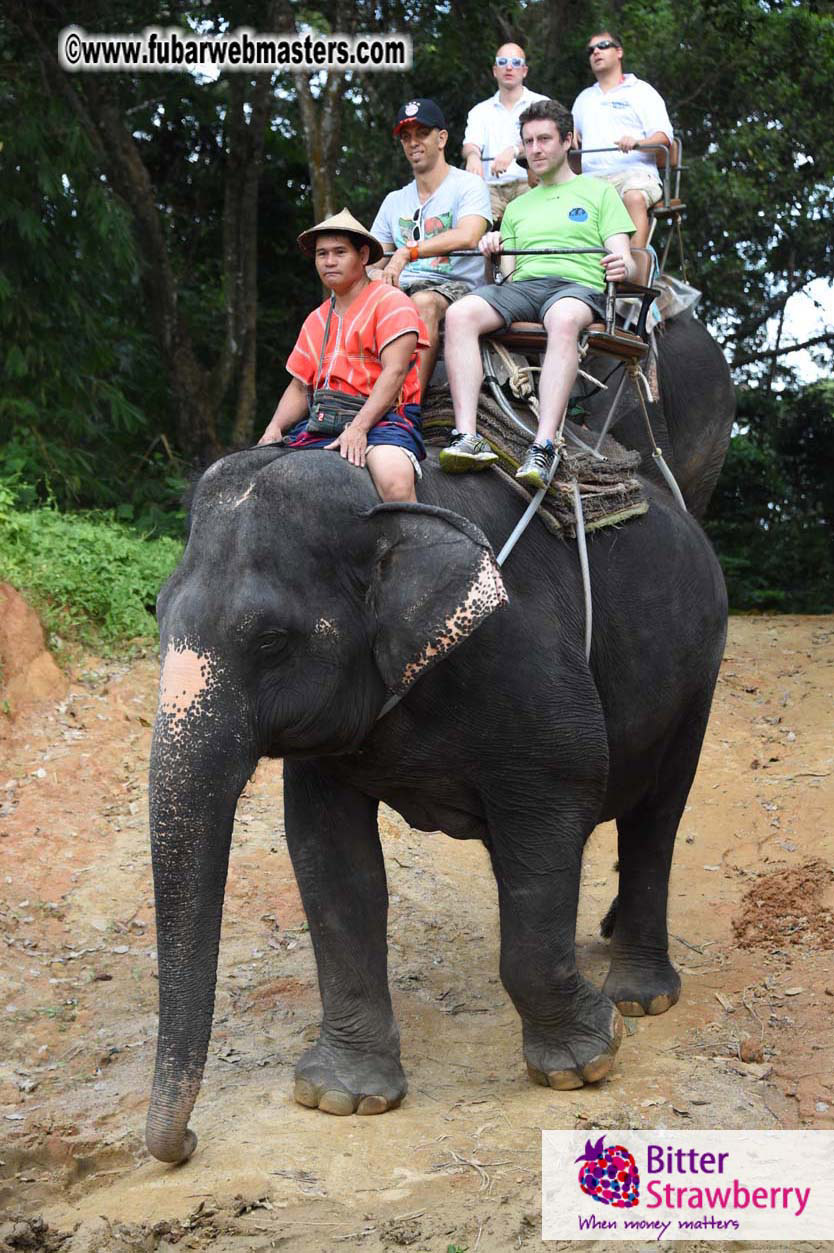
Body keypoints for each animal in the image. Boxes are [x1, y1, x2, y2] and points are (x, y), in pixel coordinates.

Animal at [145, 442, 728, 1164]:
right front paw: (344, 1097)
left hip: (700, 670)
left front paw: (585, 1062)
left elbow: (553, 814)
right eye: (157, 612)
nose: (186, 1142)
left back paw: (641, 999)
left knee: (657, 814)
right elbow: (330, 858)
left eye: (271, 640)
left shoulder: (526, 663)